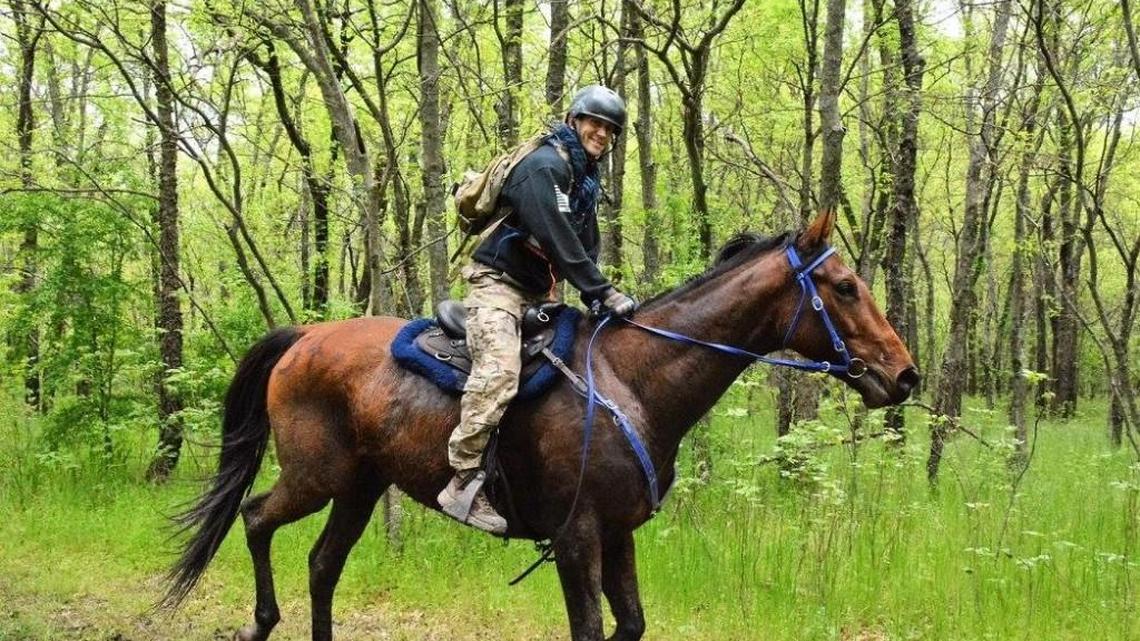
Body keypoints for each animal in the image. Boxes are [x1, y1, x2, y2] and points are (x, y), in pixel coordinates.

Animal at [162, 209, 918, 641]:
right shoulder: (577, 534)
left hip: (359, 487)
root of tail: (305, 336)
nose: (905, 374)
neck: (632, 379)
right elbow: (590, 628)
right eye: (844, 287)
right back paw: (262, 621)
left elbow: (630, 624)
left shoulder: (616, 532)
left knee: (322, 564)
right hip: (316, 476)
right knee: (257, 518)